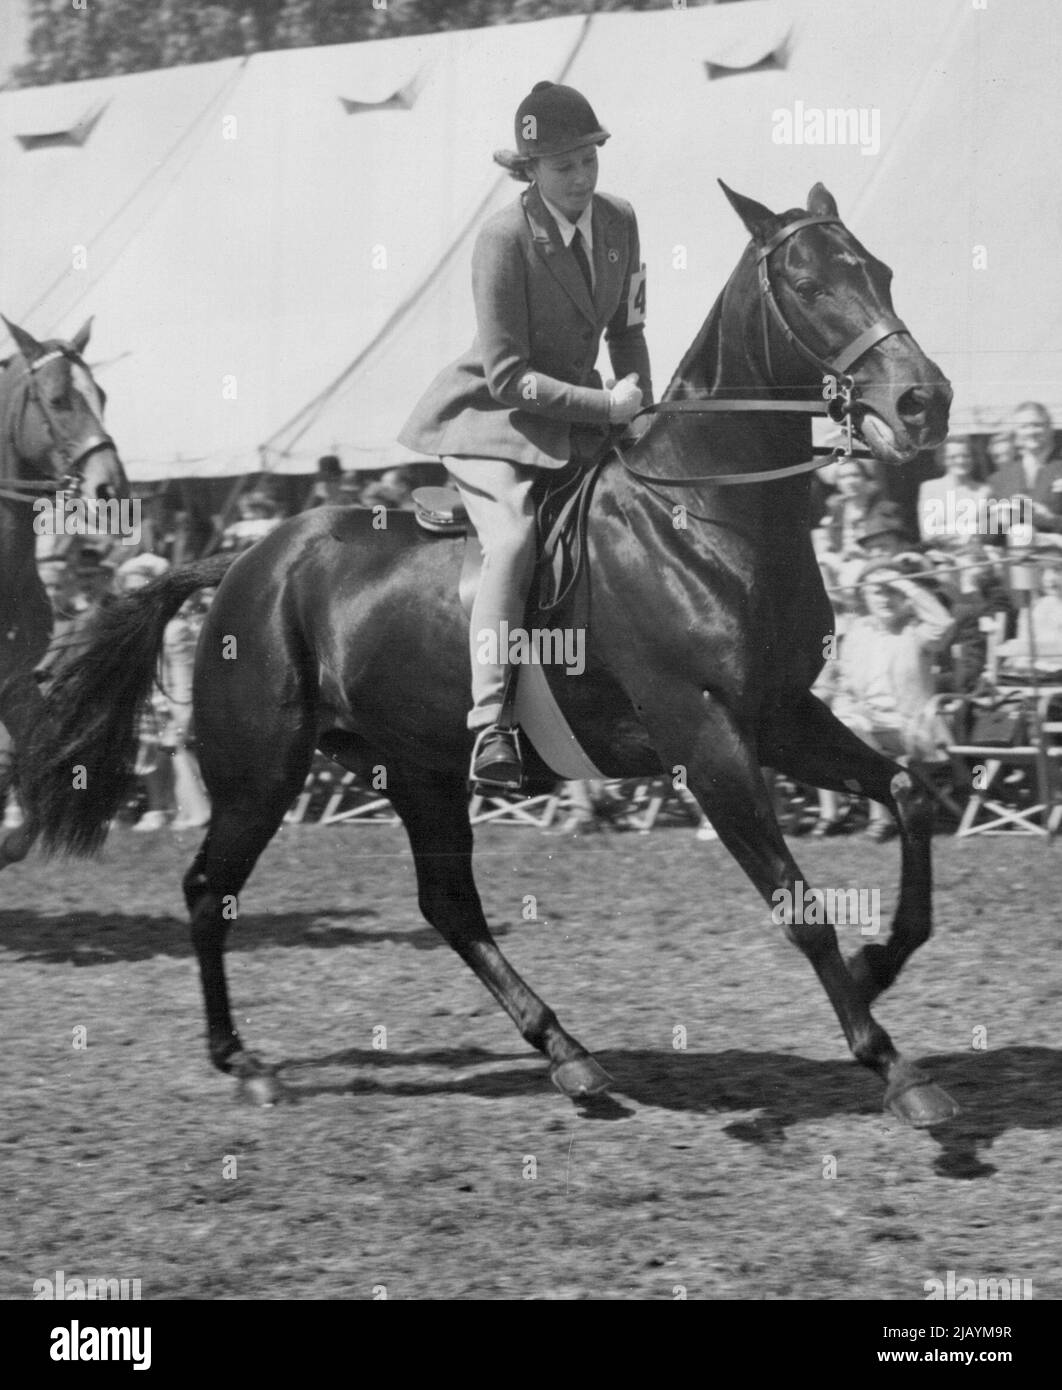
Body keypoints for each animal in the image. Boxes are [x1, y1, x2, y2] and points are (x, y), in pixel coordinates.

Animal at [29, 187, 961, 1128]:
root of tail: (245, 561)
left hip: (418, 768)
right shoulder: (707, 740)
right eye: (808, 285)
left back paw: (569, 1056)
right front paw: (893, 1066)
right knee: (207, 890)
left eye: (881, 272)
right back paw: (241, 1059)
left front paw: (879, 964)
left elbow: (911, 795)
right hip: (263, 771)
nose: (926, 400)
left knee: (449, 907)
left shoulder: (779, 717)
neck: (704, 513)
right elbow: (799, 907)